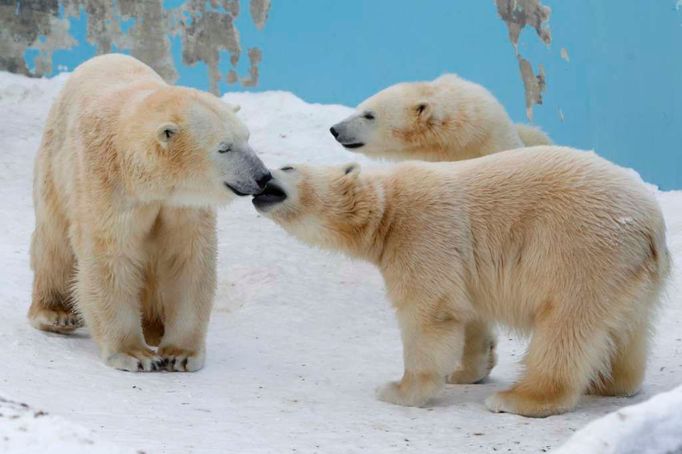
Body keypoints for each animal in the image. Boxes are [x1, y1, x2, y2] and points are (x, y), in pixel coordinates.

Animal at [29, 53, 270, 372]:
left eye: (247, 137)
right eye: (224, 148)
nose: (263, 176)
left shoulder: (181, 205)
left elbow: (187, 258)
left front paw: (180, 353)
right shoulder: (106, 184)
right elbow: (110, 257)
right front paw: (134, 354)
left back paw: (155, 326)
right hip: (55, 163)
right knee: (54, 239)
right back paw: (56, 313)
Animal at [251, 147, 668, 416]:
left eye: (287, 166)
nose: (261, 177)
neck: (386, 210)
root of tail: (651, 225)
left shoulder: (422, 230)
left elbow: (428, 312)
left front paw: (400, 390)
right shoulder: (463, 263)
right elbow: (467, 314)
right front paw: (465, 371)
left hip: (580, 249)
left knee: (565, 325)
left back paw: (519, 399)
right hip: (626, 272)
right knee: (626, 329)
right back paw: (608, 382)